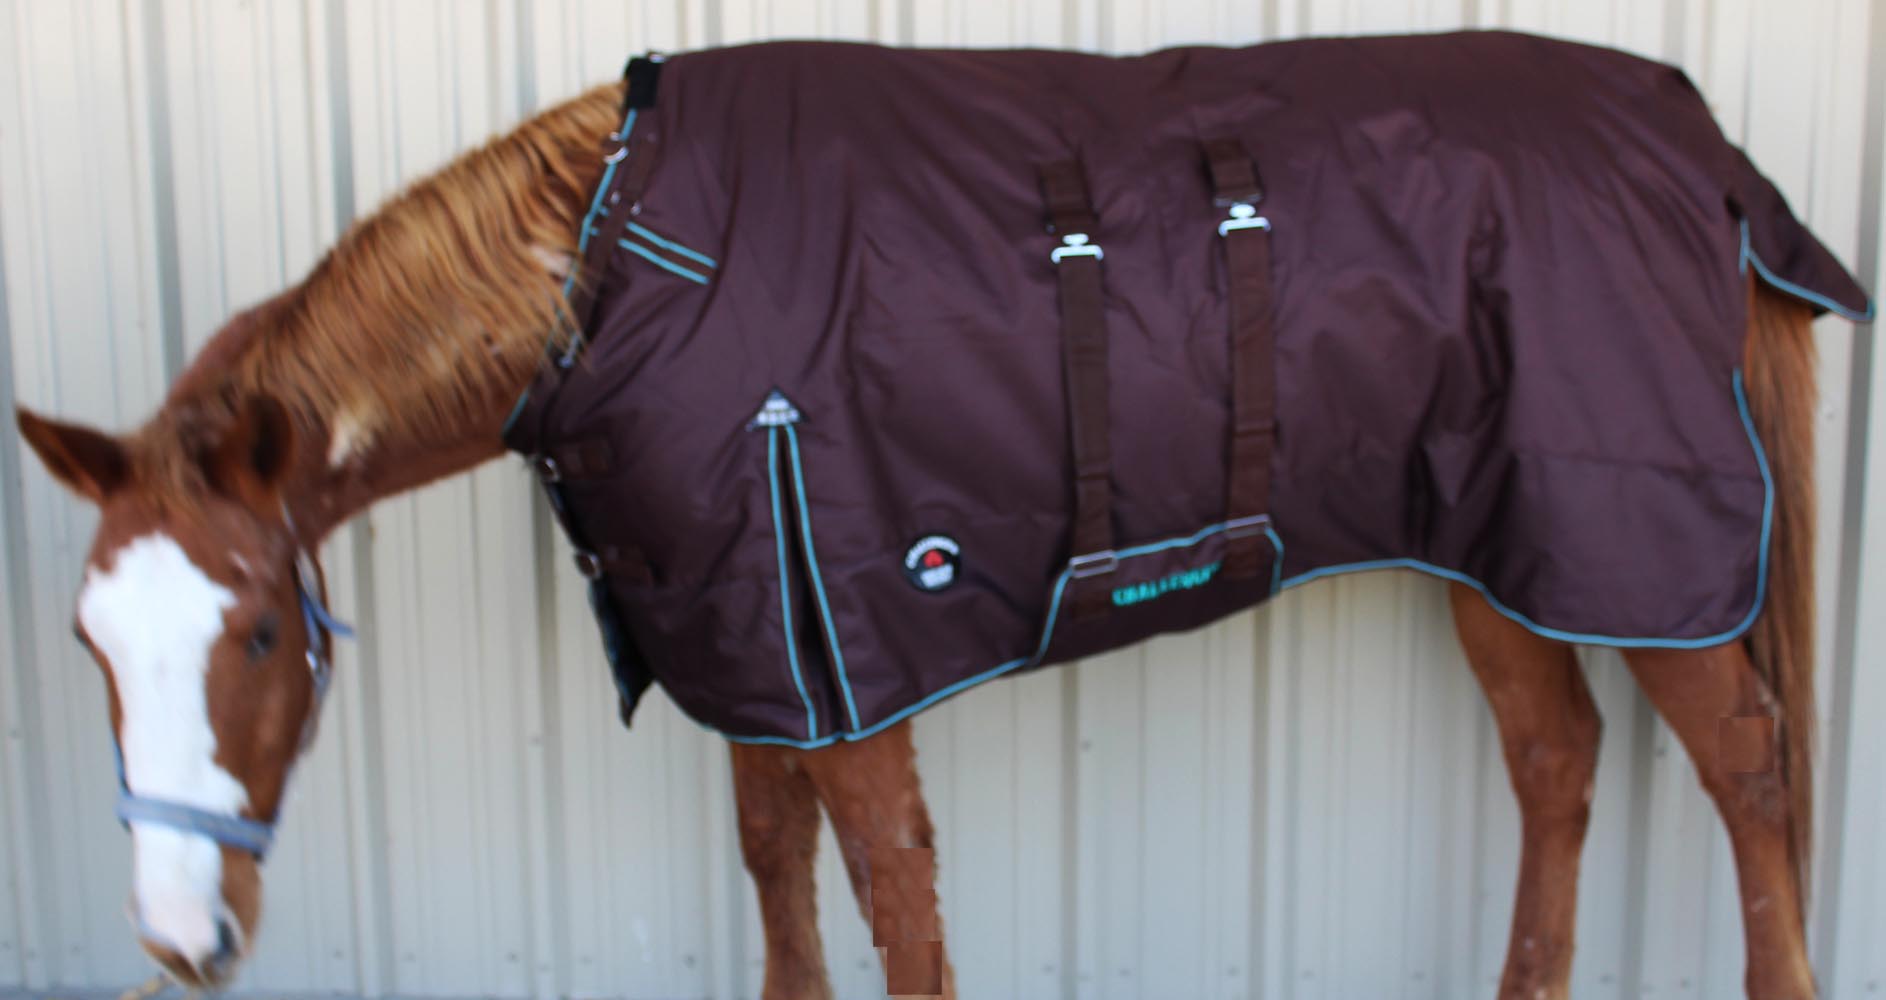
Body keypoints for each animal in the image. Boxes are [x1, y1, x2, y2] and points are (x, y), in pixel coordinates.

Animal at [13, 36, 1846, 1000]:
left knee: (1749, 771)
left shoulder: (852, 648)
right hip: (1500, 547)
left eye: (261, 630)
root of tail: (1695, 137)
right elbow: (778, 874)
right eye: (90, 643)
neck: (627, 271)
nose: (177, 935)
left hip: (1638, 552)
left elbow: (893, 894)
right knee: (1556, 761)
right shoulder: (755, 642)